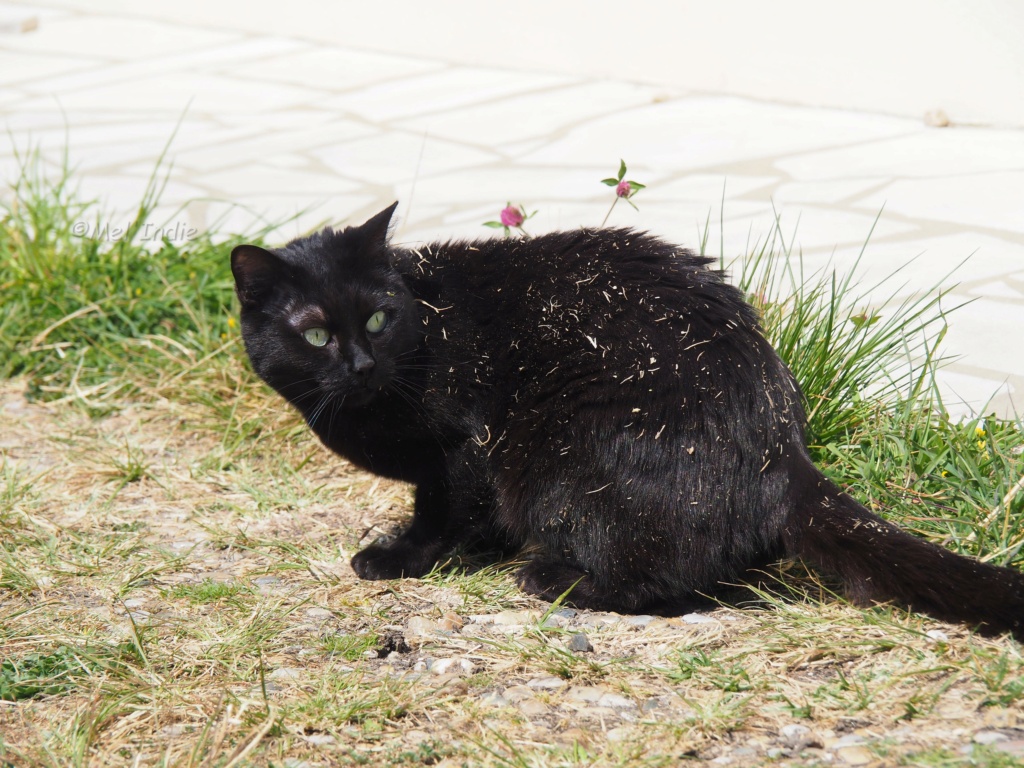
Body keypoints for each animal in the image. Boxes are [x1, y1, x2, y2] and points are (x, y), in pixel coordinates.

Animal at [232, 201, 1024, 638]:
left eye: (377, 317)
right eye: (315, 334)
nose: (361, 364)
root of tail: (783, 448)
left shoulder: (465, 448)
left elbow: (445, 512)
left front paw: (401, 558)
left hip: (560, 453)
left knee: (657, 579)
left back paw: (555, 578)